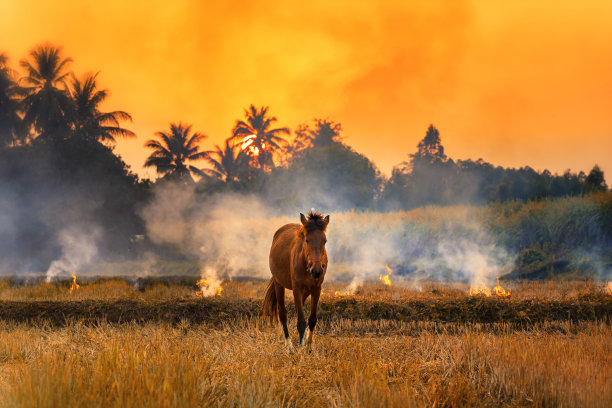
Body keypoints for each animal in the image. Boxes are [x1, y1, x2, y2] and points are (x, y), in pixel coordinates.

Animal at [262, 210, 330, 350]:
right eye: (307, 240)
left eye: (325, 241)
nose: (317, 270)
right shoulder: (297, 288)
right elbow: (301, 321)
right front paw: (300, 347)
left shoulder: (316, 288)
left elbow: (312, 319)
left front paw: (308, 347)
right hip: (279, 284)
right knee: (282, 314)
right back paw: (289, 347)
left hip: (306, 291)